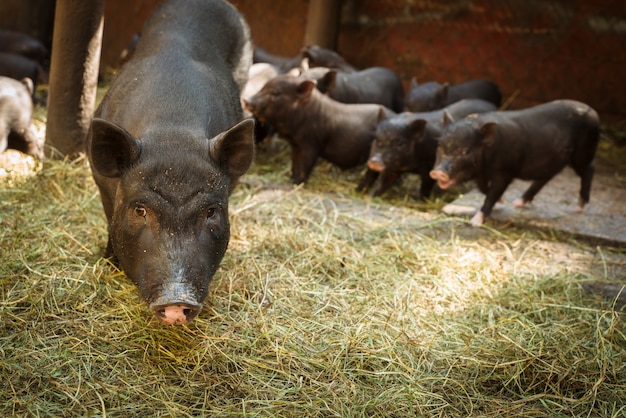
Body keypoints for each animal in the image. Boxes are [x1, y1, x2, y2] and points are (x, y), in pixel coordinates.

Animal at [243, 74, 392, 185]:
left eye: (276, 93)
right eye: (263, 87)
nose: (246, 100)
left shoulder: (312, 144)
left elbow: (305, 165)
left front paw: (298, 182)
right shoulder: (296, 145)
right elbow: (295, 163)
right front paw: (292, 179)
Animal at [358, 100, 494, 200]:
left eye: (401, 143)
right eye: (376, 138)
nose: (375, 161)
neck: (410, 166)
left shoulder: (429, 166)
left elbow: (426, 186)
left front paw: (421, 200)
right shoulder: (394, 167)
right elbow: (384, 182)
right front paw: (370, 197)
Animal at [426, 100, 596, 227]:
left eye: (466, 151)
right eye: (440, 145)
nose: (437, 171)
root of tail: (593, 112)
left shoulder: (505, 171)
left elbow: (492, 194)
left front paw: (475, 222)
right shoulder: (481, 174)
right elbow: (483, 189)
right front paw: (502, 202)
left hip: (583, 152)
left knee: (589, 170)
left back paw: (577, 207)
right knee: (546, 177)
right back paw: (517, 203)